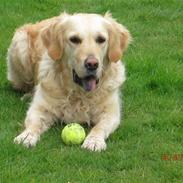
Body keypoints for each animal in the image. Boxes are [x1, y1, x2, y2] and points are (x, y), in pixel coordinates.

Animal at [7, 12, 130, 151]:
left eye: (101, 39)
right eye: (74, 39)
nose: (92, 64)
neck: (79, 93)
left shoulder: (111, 113)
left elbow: (100, 127)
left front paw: (94, 141)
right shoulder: (39, 108)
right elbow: (34, 124)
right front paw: (26, 136)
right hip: (20, 45)